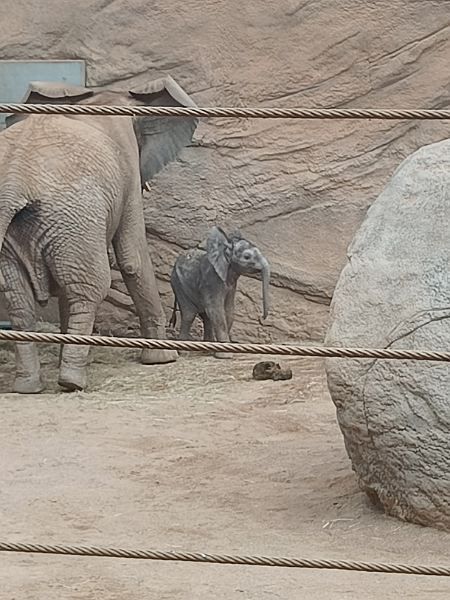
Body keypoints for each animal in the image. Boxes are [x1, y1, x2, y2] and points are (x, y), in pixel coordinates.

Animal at [0, 76, 199, 393]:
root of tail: (12, 182)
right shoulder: (127, 163)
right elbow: (132, 257)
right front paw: (163, 359)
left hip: (42, 226)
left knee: (19, 299)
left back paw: (28, 386)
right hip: (72, 214)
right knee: (88, 287)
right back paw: (71, 382)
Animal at [169, 226, 270, 357]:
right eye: (247, 257)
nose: (263, 317)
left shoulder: (231, 284)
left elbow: (228, 310)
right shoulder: (212, 279)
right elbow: (216, 310)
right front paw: (225, 356)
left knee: (206, 317)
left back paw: (207, 350)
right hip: (178, 284)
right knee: (189, 314)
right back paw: (184, 353)